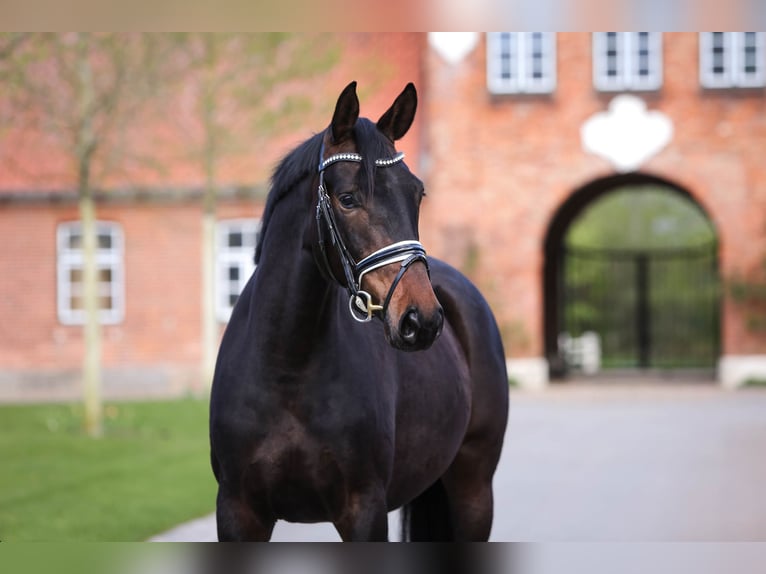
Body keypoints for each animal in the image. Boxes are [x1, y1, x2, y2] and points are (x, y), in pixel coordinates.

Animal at [210, 82, 510, 544]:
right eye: (348, 198)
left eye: (417, 194)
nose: (422, 320)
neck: (286, 368)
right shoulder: (238, 512)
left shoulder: (364, 510)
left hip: (474, 488)